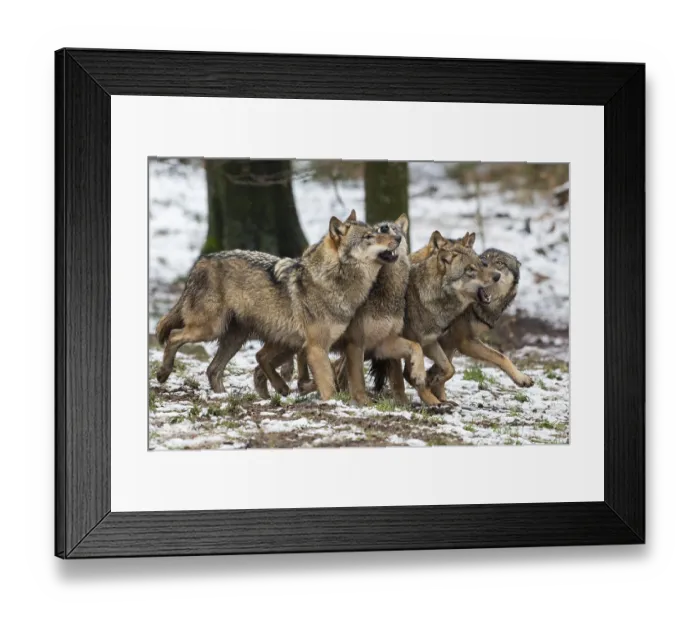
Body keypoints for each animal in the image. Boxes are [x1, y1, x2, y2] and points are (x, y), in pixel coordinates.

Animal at [155, 210, 400, 400]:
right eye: (369, 236)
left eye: (377, 231)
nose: (398, 238)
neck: (333, 281)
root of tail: (201, 261)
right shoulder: (316, 347)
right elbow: (327, 383)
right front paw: (333, 403)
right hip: (210, 329)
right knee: (174, 336)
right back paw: (163, 373)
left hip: (237, 338)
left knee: (213, 369)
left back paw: (225, 397)